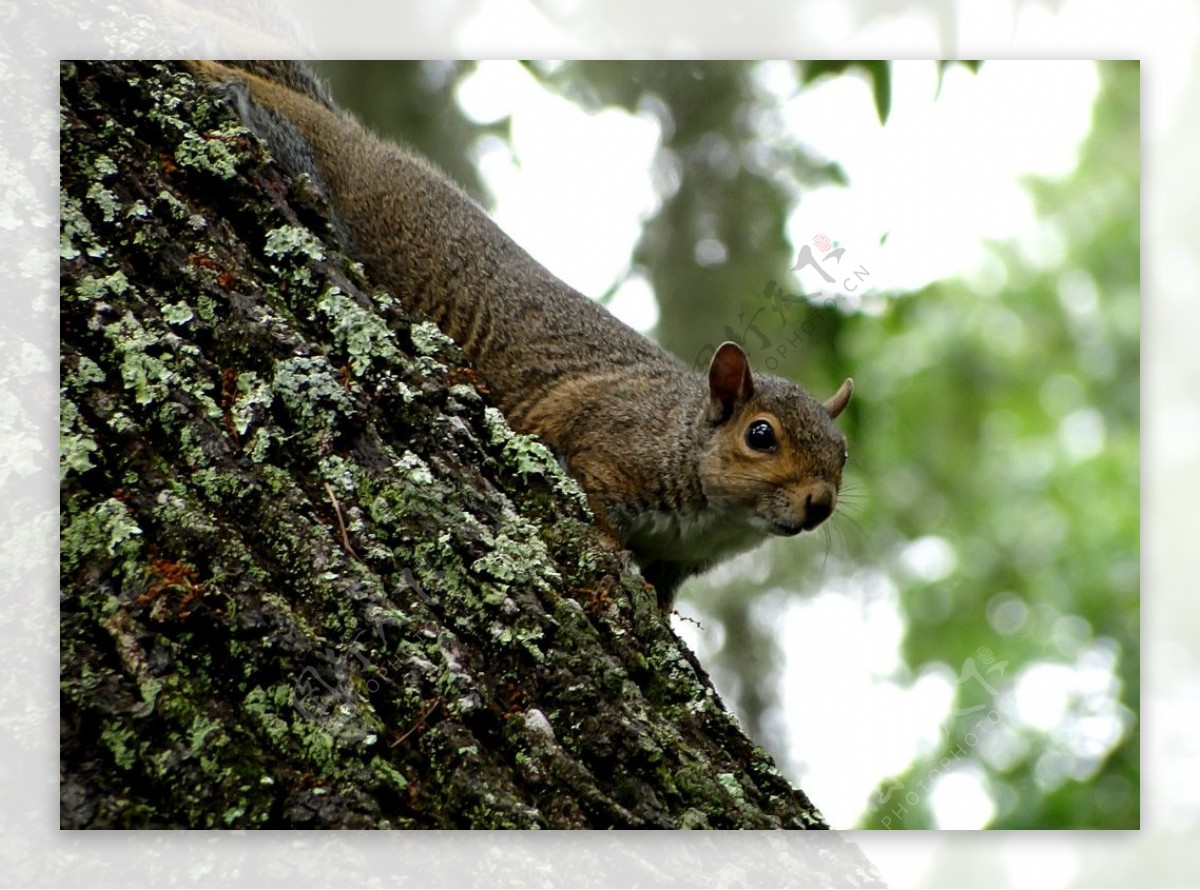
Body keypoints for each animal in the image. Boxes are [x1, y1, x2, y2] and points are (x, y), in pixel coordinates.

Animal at [187, 59, 854, 609]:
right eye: (760, 435)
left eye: (843, 453)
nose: (821, 504)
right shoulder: (603, 446)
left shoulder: (673, 566)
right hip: (329, 176)